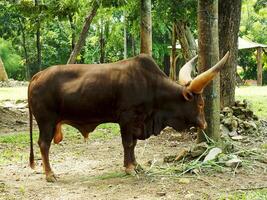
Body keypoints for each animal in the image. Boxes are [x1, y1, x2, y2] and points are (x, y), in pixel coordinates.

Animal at [28, 51, 230, 181]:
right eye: (201, 104)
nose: (204, 124)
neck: (152, 87)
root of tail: (37, 76)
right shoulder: (126, 119)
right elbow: (128, 143)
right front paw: (129, 168)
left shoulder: (137, 122)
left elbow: (133, 145)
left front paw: (136, 165)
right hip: (46, 121)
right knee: (44, 144)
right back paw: (50, 174)